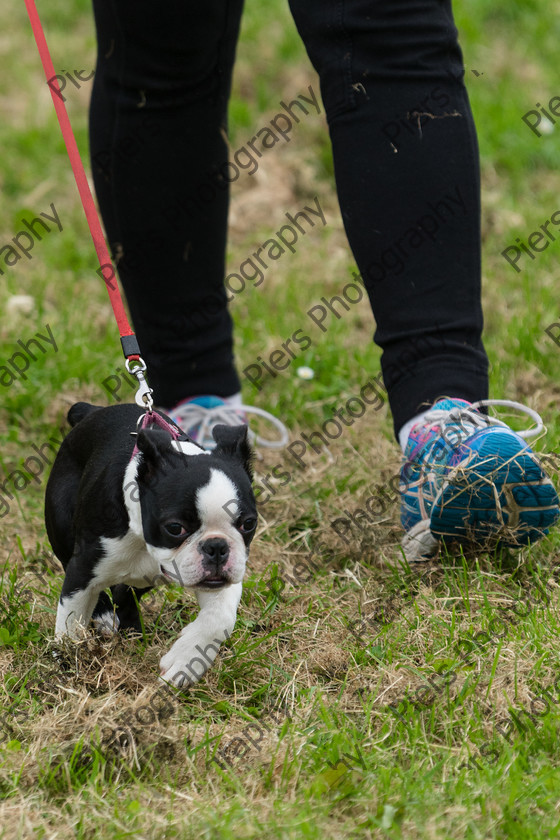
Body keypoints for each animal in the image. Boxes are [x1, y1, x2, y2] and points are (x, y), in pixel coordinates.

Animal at [44, 404, 258, 684]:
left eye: (249, 524)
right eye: (175, 528)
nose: (217, 547)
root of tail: (90, 410)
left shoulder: (222, 578)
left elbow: (219, 617)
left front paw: (186, 660)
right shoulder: (82, 569)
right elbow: (70, 622)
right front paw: (69, 665)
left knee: (125, 595)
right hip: (63, 529)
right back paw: (104, 616)